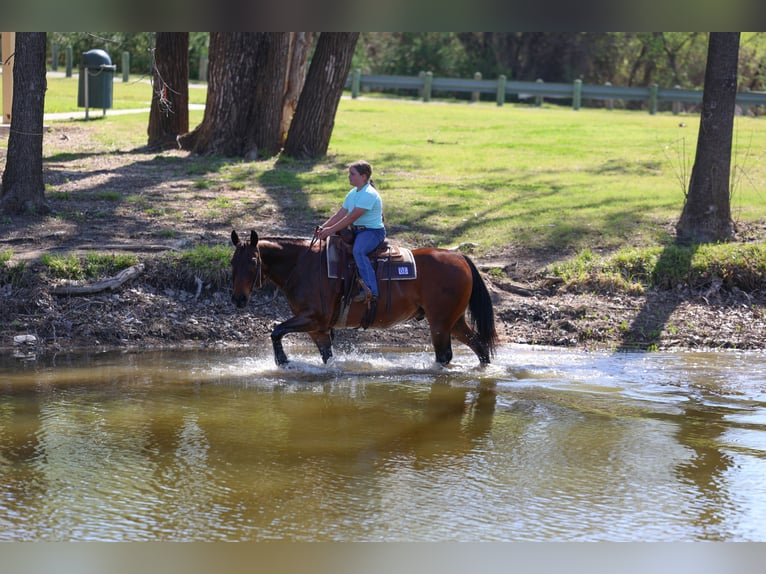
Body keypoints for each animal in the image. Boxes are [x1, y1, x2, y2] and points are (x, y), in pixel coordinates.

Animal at [230, 229, 498, 367]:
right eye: (233, 262)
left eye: (252, 261)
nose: (238, 299)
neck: (302, 265)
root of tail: (459, 257)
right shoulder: (318, 328)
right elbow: (327, 356)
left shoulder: (313, 319)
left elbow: (276, 330)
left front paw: (283, 361)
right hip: (454, 321)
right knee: (479, 346)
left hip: (440, 323)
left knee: (444, 356)